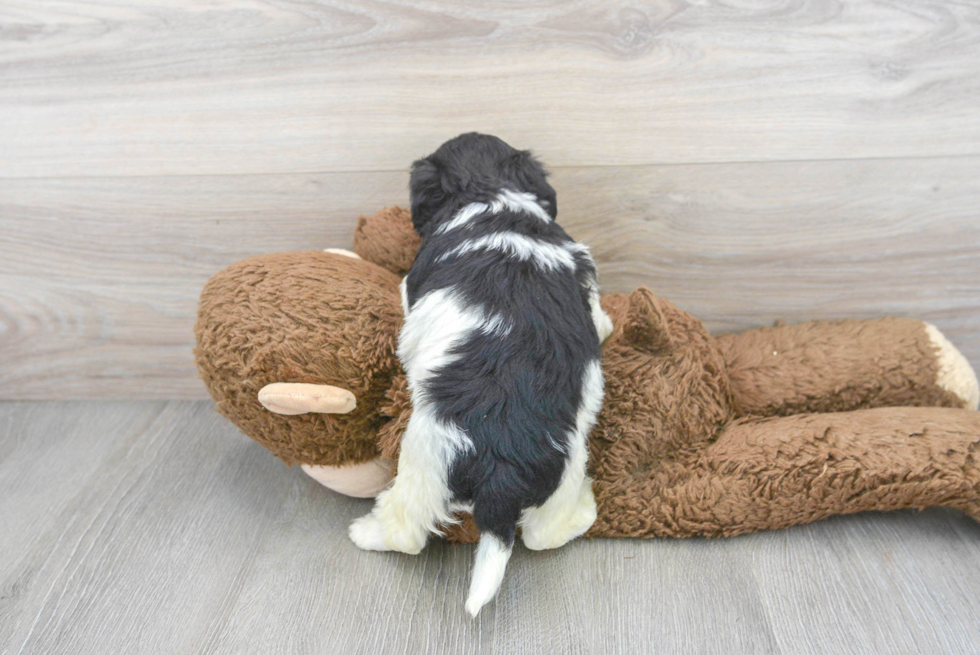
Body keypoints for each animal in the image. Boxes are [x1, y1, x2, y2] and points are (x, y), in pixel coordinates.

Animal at [348, 132, 612, 616]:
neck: (491, 192)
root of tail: (502, 470)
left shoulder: (412, 285)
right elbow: (599, 316)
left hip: (424, 461)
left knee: (407, 529)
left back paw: (368, 532)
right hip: (561, 470)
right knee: (544, 534)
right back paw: (584, 507)